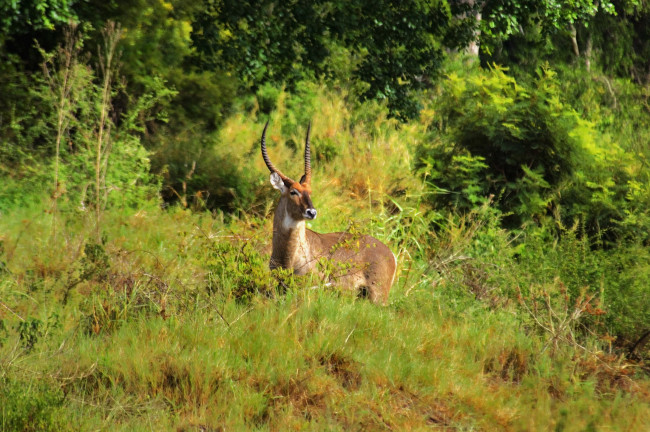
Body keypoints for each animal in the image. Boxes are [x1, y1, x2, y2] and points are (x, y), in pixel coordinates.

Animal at [260, 121, 394, 304]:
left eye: (310, 191)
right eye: (293, 191)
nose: (312, 212)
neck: (289, 256)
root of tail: (390, 253)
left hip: (377, 297)